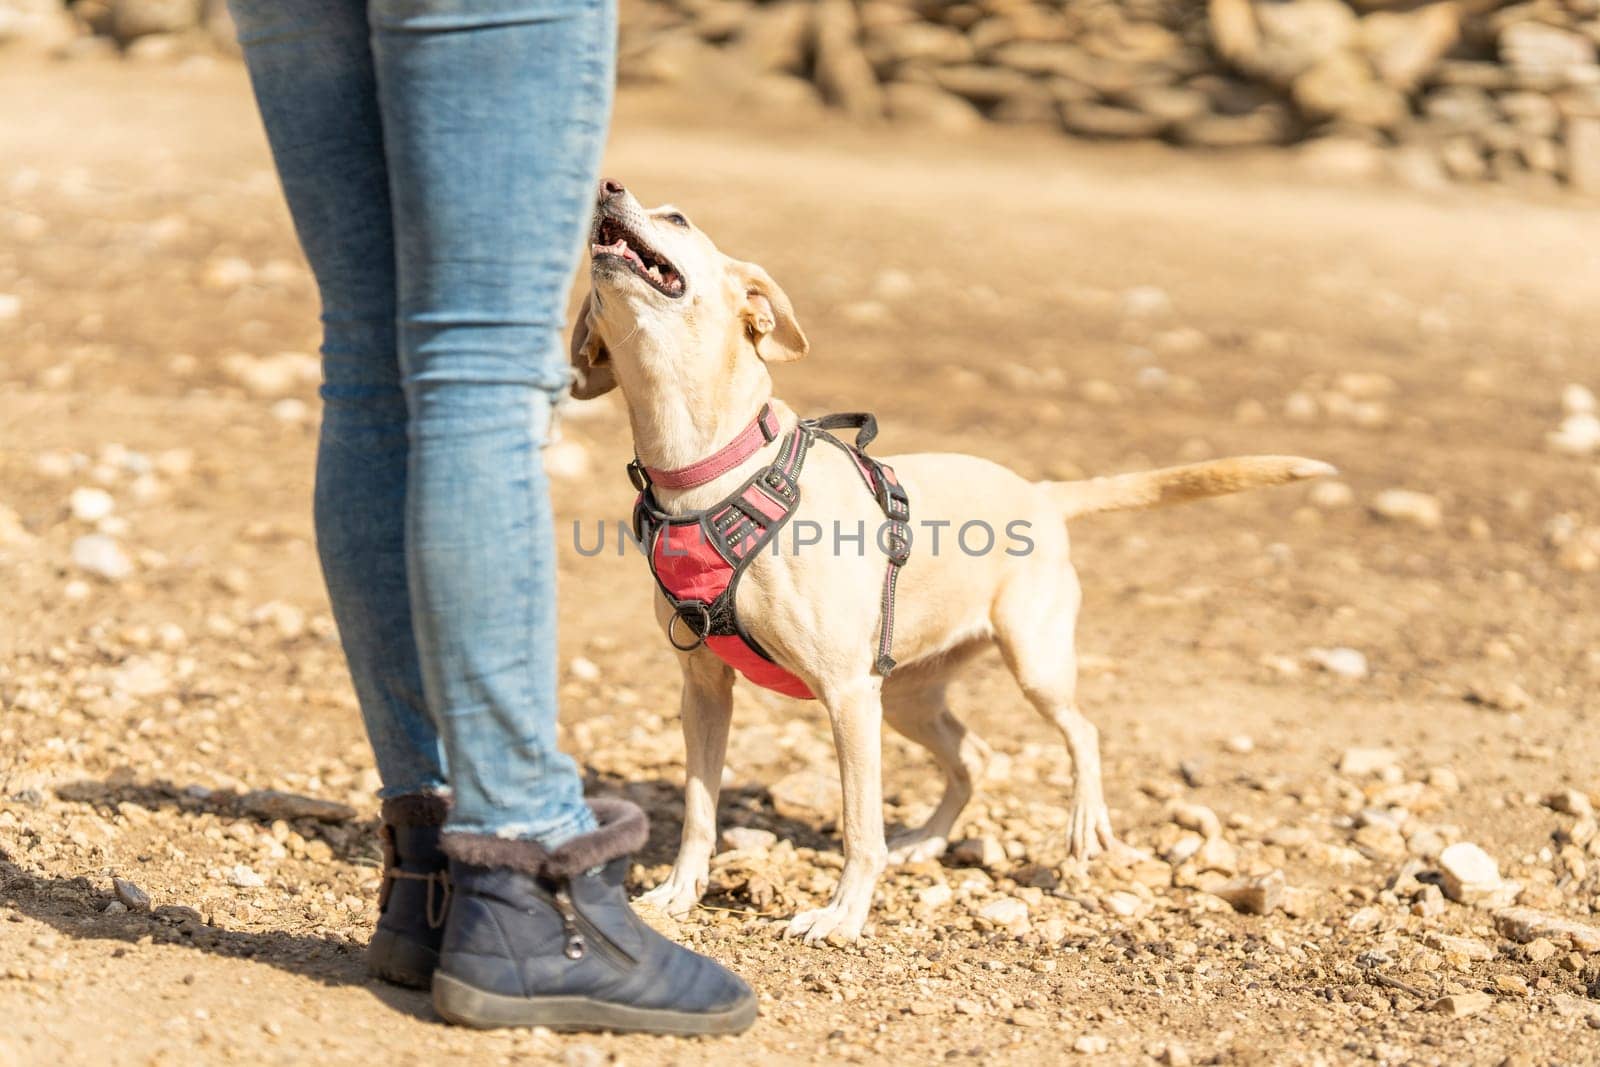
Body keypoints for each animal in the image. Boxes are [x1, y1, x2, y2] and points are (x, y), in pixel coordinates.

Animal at [569, 181, 1331, 940]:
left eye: (677, 218)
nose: (606, 186)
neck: (710, 468)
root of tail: (1042, 492)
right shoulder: (704, 688)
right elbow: (700, 808)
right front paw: (679, 891)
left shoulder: (848, 694)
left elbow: (859, 827)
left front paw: (842, 914)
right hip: (908, 694)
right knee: (975, 757)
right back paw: (928, 840)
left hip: (1030, 663)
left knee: (1081, 731)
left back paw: (1082, 825)